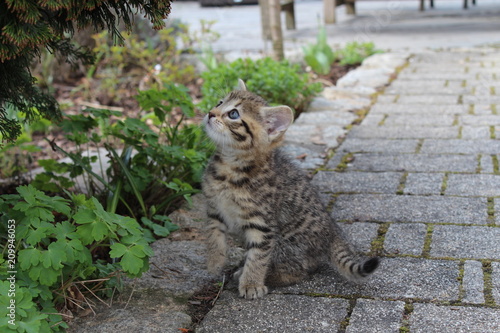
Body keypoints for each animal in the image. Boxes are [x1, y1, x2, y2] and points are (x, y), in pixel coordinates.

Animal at [201, 80, 376, 298]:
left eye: (233, 114)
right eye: (220, 102)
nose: (210, 113)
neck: (230, 167)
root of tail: (333, 231)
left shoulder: (263, 225)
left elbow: (258, 256)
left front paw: (251, 283)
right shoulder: (214, 209)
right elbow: (213, 236)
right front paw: (215, 262)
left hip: (287, 244)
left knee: (300, 270)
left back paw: (259, 276)